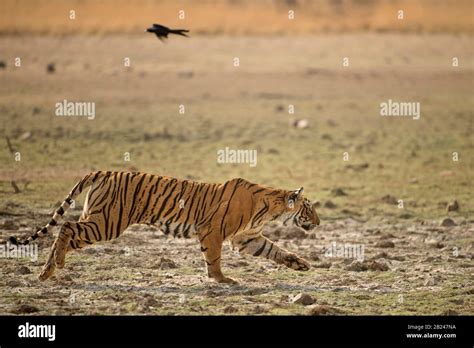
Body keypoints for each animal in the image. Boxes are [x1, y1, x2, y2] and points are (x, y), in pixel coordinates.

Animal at [11, 171, 320, 282]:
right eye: (309, 208)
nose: (318, 222)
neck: (271, 209)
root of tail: (104, 171)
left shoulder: (247, 238)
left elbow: (275, 250)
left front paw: (299, 264)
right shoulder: (214, 232)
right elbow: (214, 258)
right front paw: (221, 279)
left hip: (99, 219)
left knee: (65, 230)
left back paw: (48, 270)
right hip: (107, 223)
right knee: (67, 227)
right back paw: (55, 266)